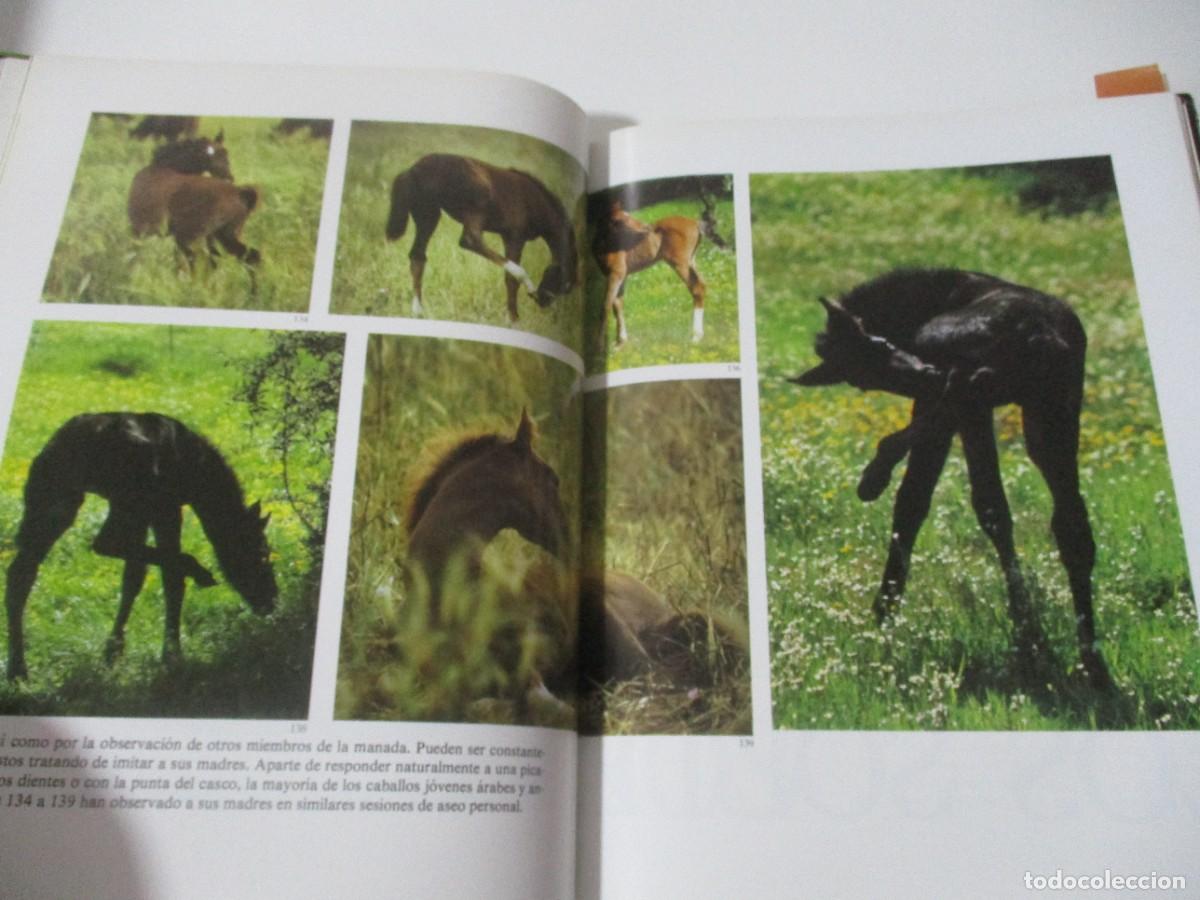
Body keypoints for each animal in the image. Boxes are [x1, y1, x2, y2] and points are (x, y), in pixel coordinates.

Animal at [5, 413, 277, 680]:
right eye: (262, 554)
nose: (271, 600)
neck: (197, 474)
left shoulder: (150, 513)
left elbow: (134, 578)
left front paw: (113, 652)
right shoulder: (165, 508)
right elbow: (170, 578)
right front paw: (171, 654)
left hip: (57, 499)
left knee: (22, 571)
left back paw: (17, 670)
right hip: (124, 501)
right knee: (105, 542)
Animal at [127, 133, 262, 271]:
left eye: (225, 153)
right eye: (206, 156)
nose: (229, 177)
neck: (162, 167)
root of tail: (240, 194)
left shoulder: (140, 230)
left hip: (194, 238)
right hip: (224, 236)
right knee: (250, 257)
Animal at [385, 153, 579, 321]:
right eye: (565, 285)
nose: (543, 301)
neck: (534, 200)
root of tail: (414, 169)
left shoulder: (507, 236)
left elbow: (508, 276)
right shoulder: (516, 236)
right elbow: (512, 277)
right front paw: (513, 319)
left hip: (428, 214)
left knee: (417, 256)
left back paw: (418, 312)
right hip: (474, 211)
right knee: (469, 240)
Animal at [592, 200, 707, 348]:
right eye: (620, 220)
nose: (646, 228)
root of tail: (695, 223)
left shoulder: (616, 274)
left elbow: (606, 306)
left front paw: (599, 345)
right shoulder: (622, 276)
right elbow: (617, 305)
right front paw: (620, 342)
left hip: (681, 264)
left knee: (697, 288)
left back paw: (695, 337)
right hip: (691, 261)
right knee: (702, 286)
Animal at [791, 268, 1111, 689]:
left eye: (877, 342)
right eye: (860, 378)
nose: (926, 373)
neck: (936, 297)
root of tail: (1037, 331)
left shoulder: (938, 390)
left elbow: (914, 500)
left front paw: (884, 611)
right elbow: (951, 503)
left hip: (984, 393)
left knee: (969, 402)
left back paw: (877, 469)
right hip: (1052, 411)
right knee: (1071, 526)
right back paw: (1090, 661)